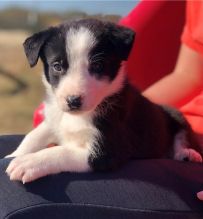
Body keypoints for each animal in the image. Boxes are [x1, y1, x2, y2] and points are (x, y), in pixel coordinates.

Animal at [5, 18, 202, 183]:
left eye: (98, 66)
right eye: (57, 66)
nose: (73, 101)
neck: (78, 116)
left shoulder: (106, 150)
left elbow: (60, 151)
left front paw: (28, 162)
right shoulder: (54, 119)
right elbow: (33, 136)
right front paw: (14, 154)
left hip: (176, 115)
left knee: (182, 138)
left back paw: (187, 153)